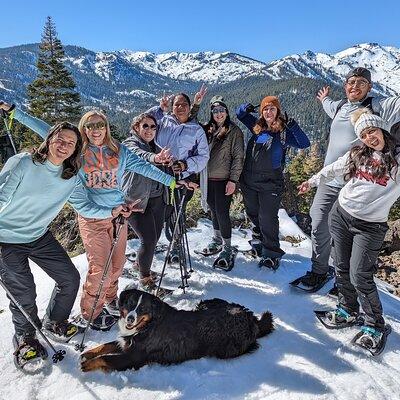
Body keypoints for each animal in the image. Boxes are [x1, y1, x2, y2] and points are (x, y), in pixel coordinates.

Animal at [80, 288, 276, 372]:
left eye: (142, 308)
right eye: (129, 304)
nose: (130, 319)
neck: (148, 325)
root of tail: (250, 318)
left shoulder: (134, 357)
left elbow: (106, 358)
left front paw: (88, 364)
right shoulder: (126, 341)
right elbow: (105, 346)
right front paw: (87, 353)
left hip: (226, 348)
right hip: (206, 303)